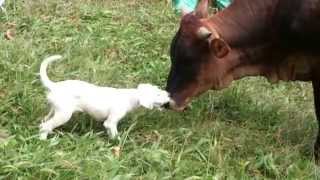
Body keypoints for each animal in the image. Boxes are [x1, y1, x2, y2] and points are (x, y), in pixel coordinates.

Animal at [39, 55, 171, 140]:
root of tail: (55, 86)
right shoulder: (110, 123)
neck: (130, 97)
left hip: (55, 110)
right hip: (64, 114)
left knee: (44, 121)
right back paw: (43, 140)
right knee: (45, 126)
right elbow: (114, 135)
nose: (169, 96)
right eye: (158, 94)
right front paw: (118, 143)